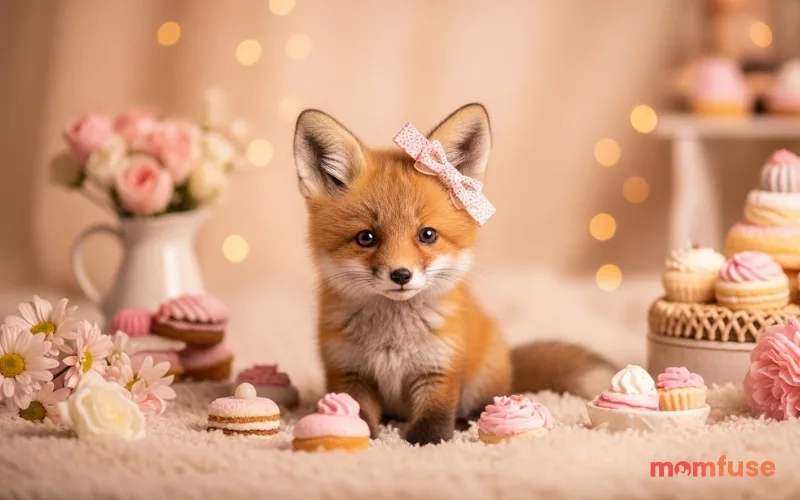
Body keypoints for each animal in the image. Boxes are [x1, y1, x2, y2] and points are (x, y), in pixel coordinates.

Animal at [293, 103, 617, 446]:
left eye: (427, 234)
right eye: (366, 237)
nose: (401, 275)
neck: (392, 340)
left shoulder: (440, 369)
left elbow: (433, 422)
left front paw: (425, 443)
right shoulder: (348, 371)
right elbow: (357, 414)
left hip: (481, 381)